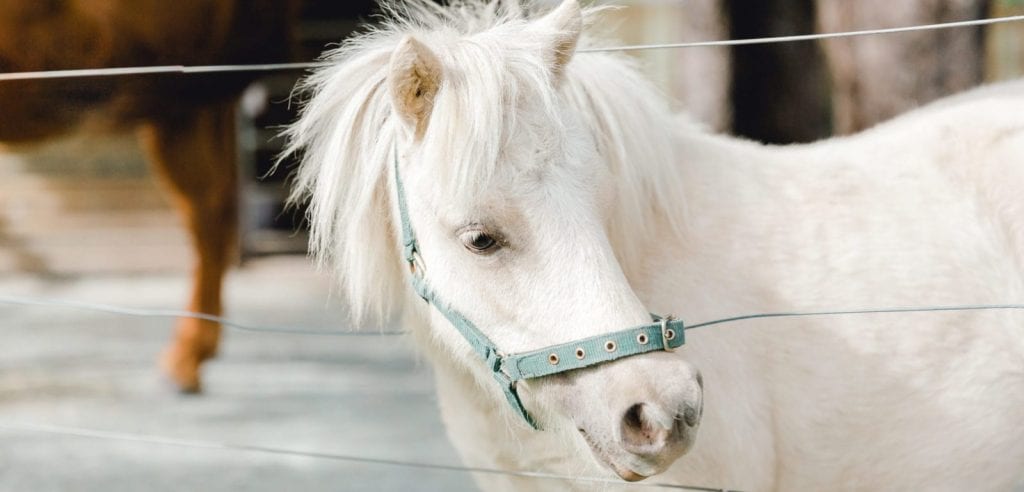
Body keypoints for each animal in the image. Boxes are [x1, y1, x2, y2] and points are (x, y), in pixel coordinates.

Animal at [0, 0, 299, 392]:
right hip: (191, 102)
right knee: (214, 209)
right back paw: (192, 355)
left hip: (181, 94)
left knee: (207, 212)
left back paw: (185, 358)